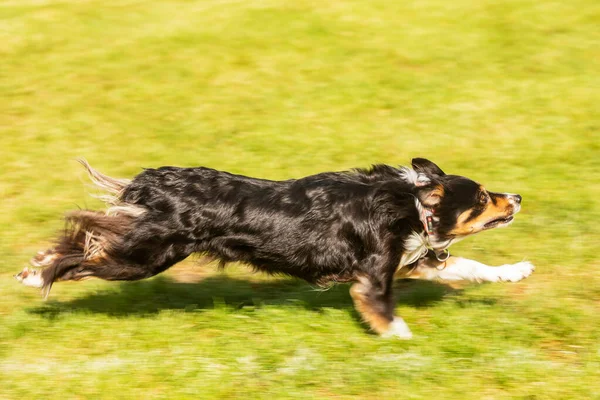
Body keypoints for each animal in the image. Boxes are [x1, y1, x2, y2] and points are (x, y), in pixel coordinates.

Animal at [14, 158, 532, 340]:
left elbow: (467, 263)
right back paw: (35, 274)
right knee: (83, 250)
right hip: (144, 255)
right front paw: (405, 342)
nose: (518, 196)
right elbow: (386, 314)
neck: (411, 203)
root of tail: (152, 183)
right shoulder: (372, 277)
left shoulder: (410, 261)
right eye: (481, 197)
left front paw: (516, 270)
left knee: (87, 239)